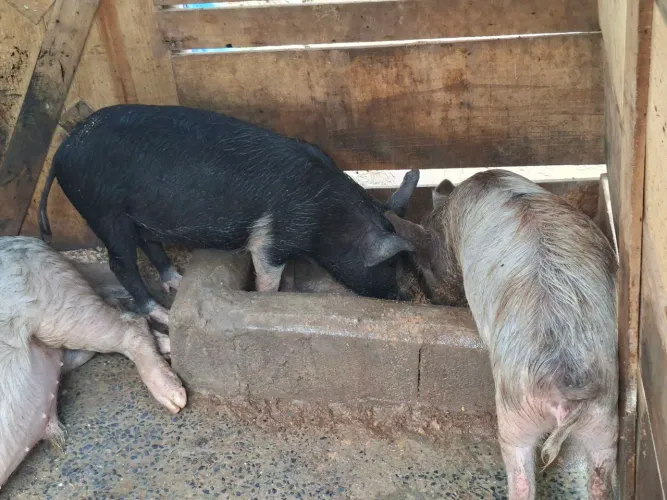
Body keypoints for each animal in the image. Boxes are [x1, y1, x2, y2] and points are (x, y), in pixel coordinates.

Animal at [39, 105, 420, 325]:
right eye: (389, 265)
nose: (405, 297)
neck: (327, 217)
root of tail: (62, 151)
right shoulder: (270, 240)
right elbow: (267, 275)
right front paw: (269, 298)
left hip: (136, 213)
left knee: (150, 243)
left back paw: (177, 280)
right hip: (103, 211)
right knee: (121, 264)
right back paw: (163, 314)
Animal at [387, 170, 618, 500]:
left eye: (424, 266)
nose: (435, 297)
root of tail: (566, 389)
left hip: (517, 412)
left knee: (520, 469)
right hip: (603, 418)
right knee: (601, 471)